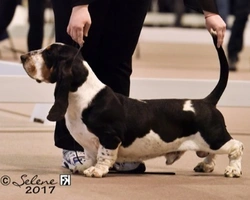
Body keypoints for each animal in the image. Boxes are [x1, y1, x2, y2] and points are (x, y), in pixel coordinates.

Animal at [20, 34, 243, 178]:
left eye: (49, 54)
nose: (22, 57)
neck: (83, 95)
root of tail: (206, 101)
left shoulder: (110, 138)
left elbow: (103, 156)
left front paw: (96, 171)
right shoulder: (89, 144)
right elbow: (90, 156)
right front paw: (83, 167)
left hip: (215, 138)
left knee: (236, 147)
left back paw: (233, 170)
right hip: (208, 142)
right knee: (211, 154)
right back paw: (205, 166)